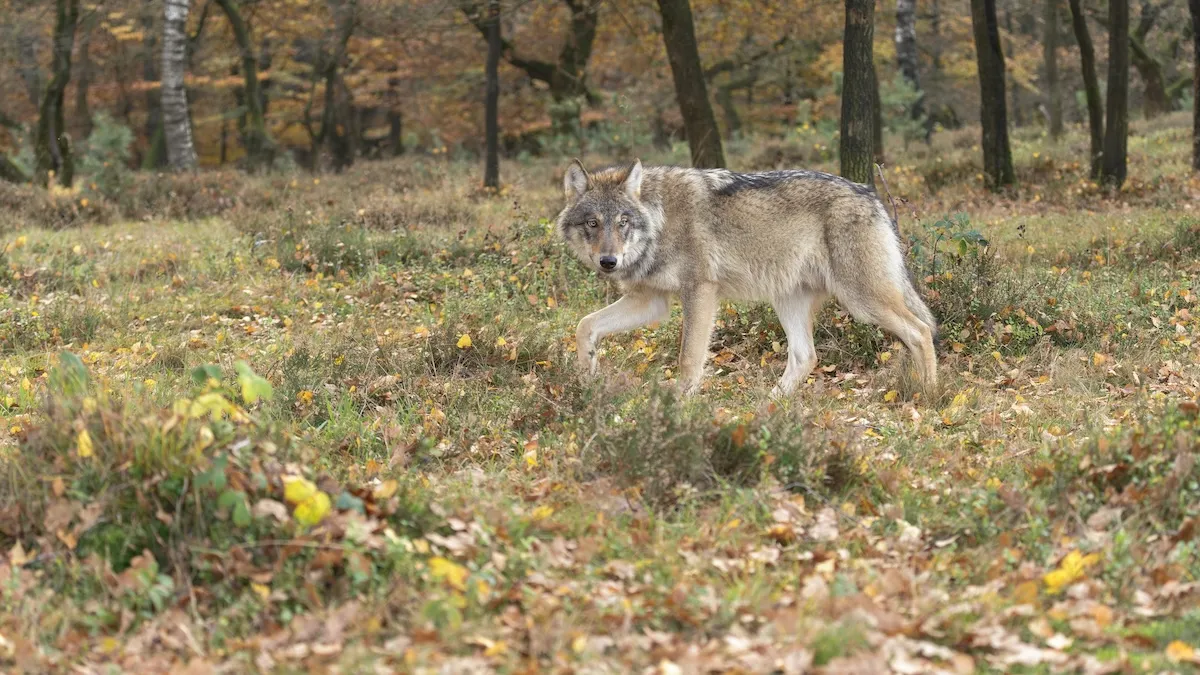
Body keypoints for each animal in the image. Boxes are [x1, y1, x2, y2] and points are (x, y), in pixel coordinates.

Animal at [554, 159, 938, 398]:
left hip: (861, 300)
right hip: (789, 300)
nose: (609, 261)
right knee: (805, 356)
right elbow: (584, 326)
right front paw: (588, 379)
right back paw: (767, 406)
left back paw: (930, 396)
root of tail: (871, 195)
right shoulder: (651, 301)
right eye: (593, 223)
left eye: (622, 222)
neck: (658, 222)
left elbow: (689, 359)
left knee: (921, 331)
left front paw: (677, 407)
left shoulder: (700, 291)